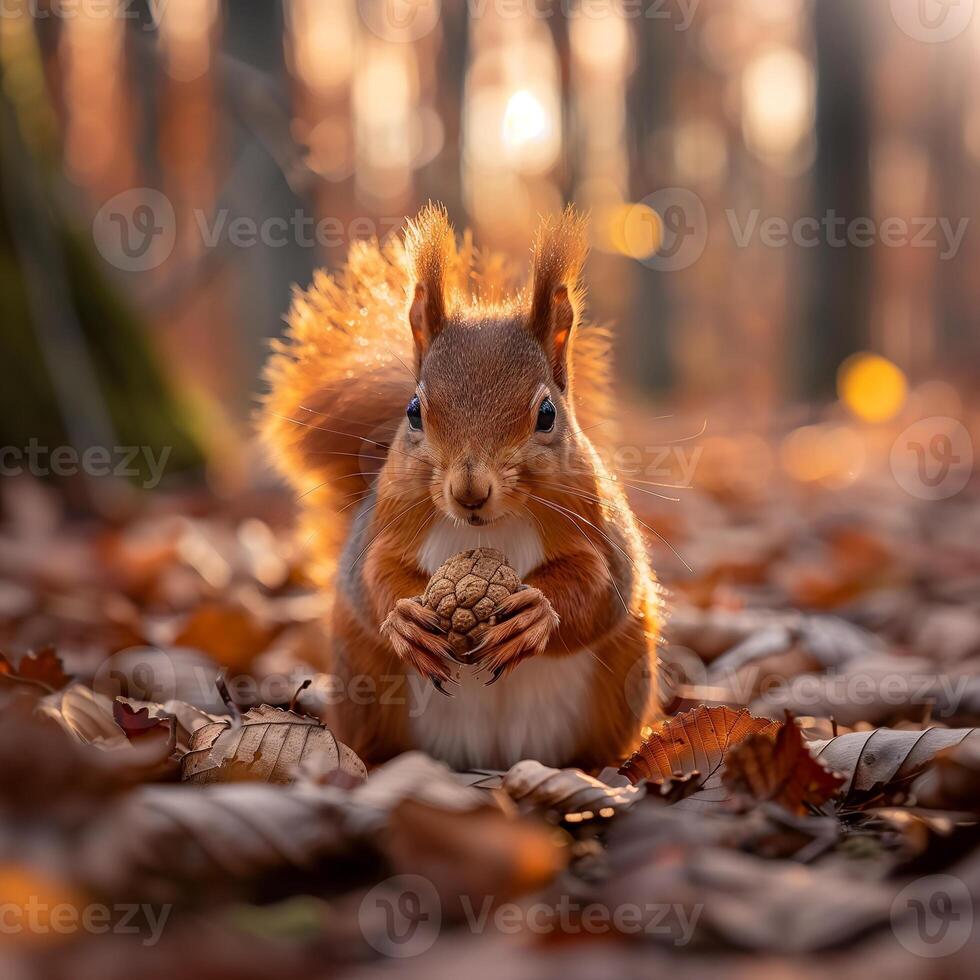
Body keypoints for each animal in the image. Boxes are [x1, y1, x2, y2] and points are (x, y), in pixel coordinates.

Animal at [260, 205, 664, 772]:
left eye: (547, 414)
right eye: (413, 411)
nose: (469, 492)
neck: (487, 530)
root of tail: (487, 760)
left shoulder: (597, 524)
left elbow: (602, 589)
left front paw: (536, 615)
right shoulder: (386, 521)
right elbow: (372, 576)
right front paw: (404, 619)